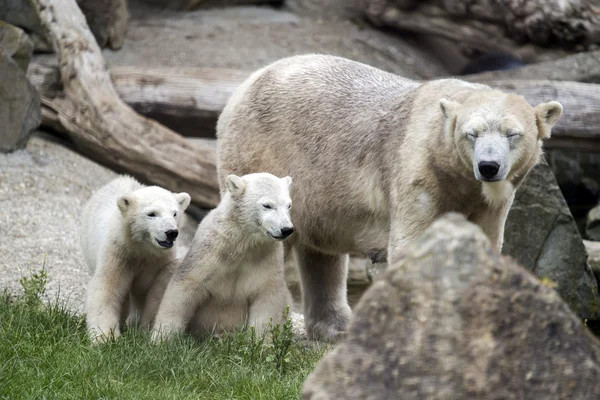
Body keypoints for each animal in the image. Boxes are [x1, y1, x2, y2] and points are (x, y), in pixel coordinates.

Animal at [216, 52, 564, 340]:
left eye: (512, 133)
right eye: (472, 134)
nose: (488, 166)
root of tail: (244, 85)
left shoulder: (489, 202)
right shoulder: (419, 173)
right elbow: (413, 245)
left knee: (321, 251)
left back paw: (336, 328)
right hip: (260, 153)